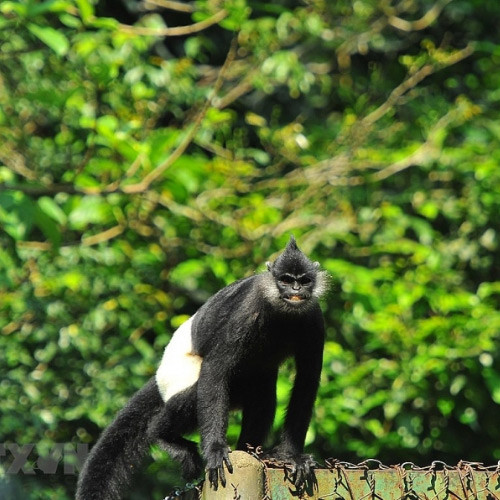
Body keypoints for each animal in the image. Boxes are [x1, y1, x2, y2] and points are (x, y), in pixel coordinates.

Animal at [76, 236, 328, 498]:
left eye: (304, 281)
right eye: (286, 280)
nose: (296, 290)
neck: (281, 313)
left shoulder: (314, 319)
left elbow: (307, 382)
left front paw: (291, 457)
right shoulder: (246, 312)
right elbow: (215, 369)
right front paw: (215, 450)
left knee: (262, 396)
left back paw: (254, 452)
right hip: (176, 376)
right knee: (193, 393)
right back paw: (163, 436)